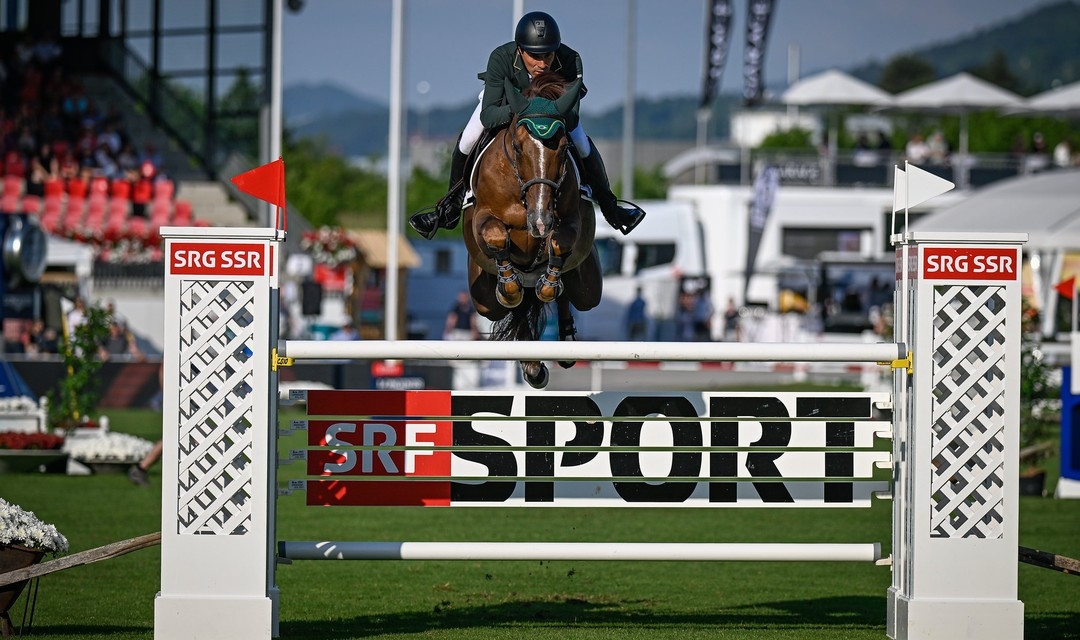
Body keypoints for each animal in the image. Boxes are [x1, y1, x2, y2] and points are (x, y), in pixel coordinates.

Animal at [462, 71, 604, 386]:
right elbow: (496, 235)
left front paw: (548, 284)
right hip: (483, 300)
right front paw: (509, 287)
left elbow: (560, 244)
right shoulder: (482, 218)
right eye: (517, 147)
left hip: (588, 287)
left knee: (572, 295)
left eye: (564, 149)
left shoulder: (570, 220)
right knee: (509, 307)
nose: (540, 220)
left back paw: (561, 345)